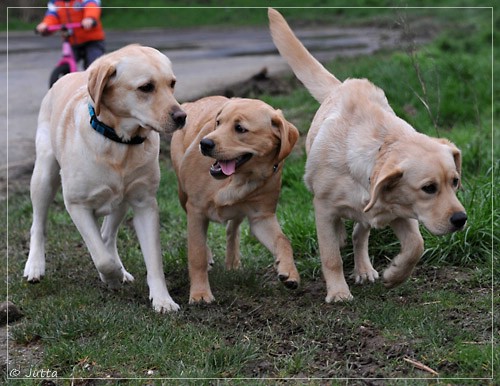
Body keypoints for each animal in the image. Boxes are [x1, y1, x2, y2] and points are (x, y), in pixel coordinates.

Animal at [23, 43, 186, 312]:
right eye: (146, 87)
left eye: (172, 83)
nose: (182, 116)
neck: (118, 143)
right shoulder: (76, 205)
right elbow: (102, 259)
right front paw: (112, 276)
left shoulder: (145, 204)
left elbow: (154, 260)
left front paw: (163, 299)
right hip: (44, 175)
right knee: (39, 225)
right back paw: (35, 266)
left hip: (121, 201)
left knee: (107, 235)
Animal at [170, 95, 298, 304]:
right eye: (218, 122)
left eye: (240, 128)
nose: (205, 143)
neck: (239, 178)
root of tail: (192, 102)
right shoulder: (196, 209)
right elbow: (196, 253)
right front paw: (200, 293)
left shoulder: (261, 217)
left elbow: (283, 240)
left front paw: (289, 271)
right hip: (183, 194)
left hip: (239, 210)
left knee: (232, 228)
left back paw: (232, 261)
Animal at [270, 9, 464, 304]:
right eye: (429, 188)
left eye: (455, 182)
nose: (461, 219)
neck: (379, 150)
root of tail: (343, 85)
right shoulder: (323, 208)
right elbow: (331, 257)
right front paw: (338, 292)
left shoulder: (400, 210)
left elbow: (416, 246)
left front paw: (394, 275)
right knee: (343, 234)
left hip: (367, 216)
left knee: (359, 235)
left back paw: (364, 268)